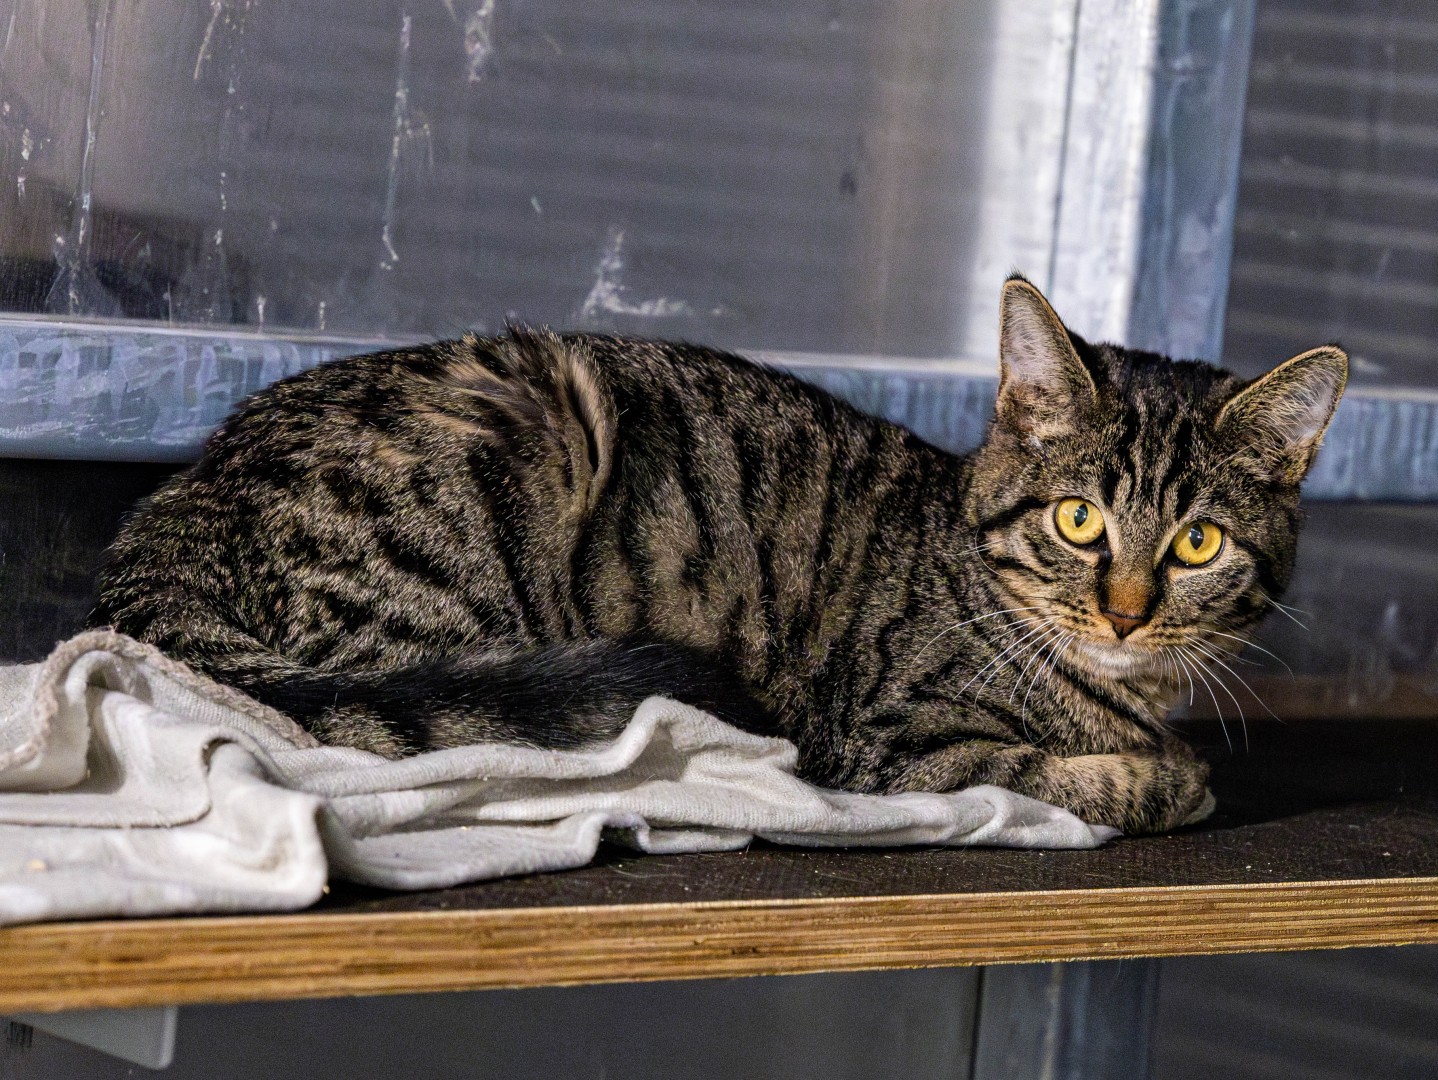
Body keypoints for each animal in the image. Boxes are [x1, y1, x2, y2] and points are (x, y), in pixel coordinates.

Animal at [91, 276, 1347, 834]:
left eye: (1196, 542)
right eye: (1078, 521)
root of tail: (184, 500)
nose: (1127, 610)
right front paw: (1163, 775)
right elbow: (1053, 770)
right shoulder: (887, 745)